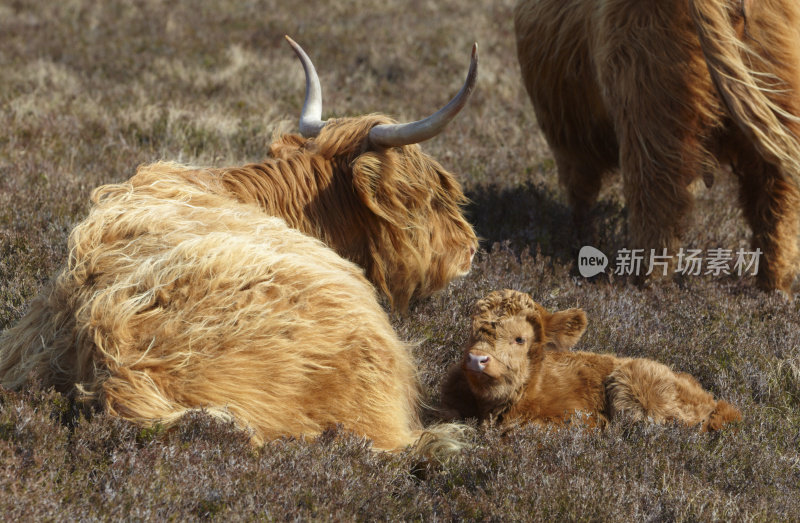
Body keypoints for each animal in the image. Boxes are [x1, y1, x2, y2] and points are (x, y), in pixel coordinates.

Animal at [516, 0, 800, 292]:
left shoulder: (569, 131)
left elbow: (580, 194)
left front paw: (581, 243)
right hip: (776, 97)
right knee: (775, 202)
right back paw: (773, 287)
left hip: (649, 108)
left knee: (656, 200)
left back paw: (643, 282)